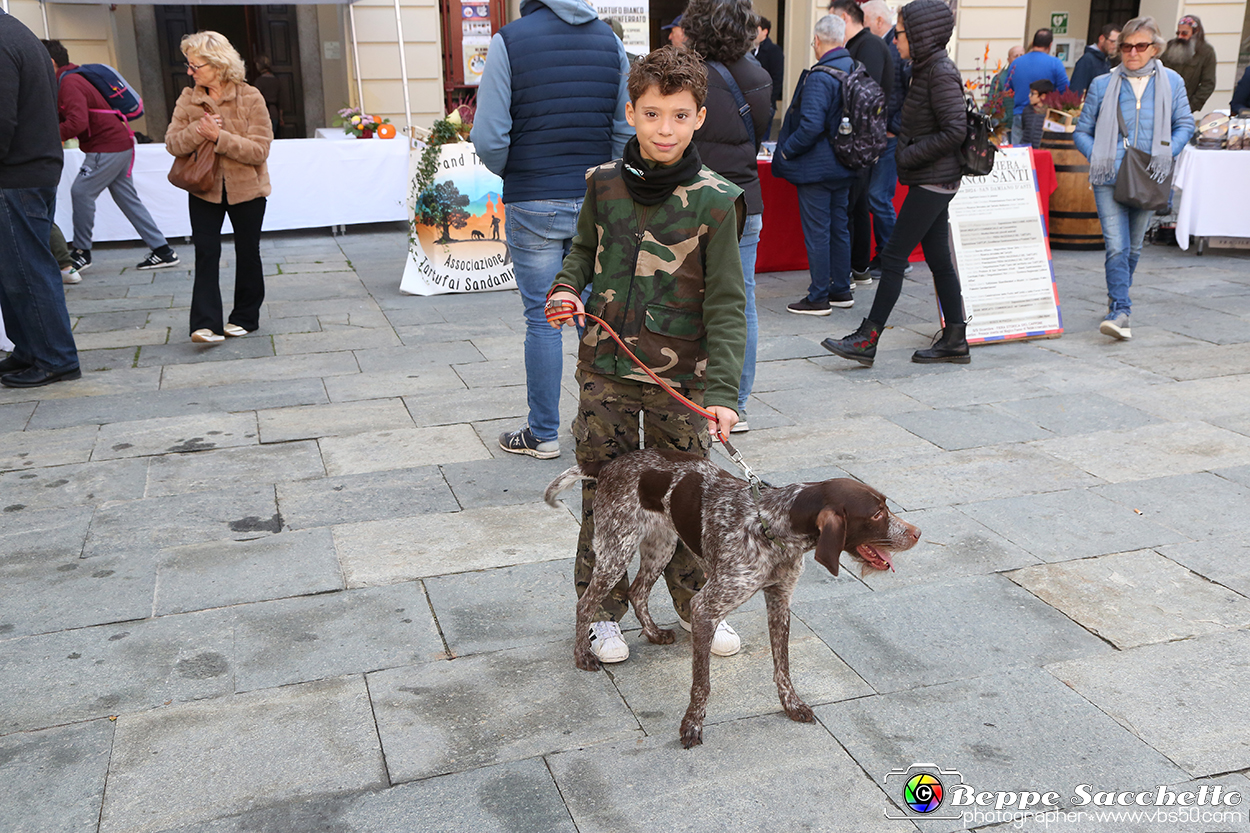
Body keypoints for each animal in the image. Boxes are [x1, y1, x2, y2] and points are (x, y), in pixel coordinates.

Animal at [545, 447, 920, 745]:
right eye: (876, 514)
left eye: (886, 506)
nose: (917, 532)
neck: (772, 526)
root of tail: (611, 463)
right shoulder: (705, 607)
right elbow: (702, 683)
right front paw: (692, 725)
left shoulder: (779, 601)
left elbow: (783, 667)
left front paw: (791, 704)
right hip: (616, 550)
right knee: (586, 602)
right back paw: (583, 655)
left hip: (662, 544)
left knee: (638, 591)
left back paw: (652, 633)